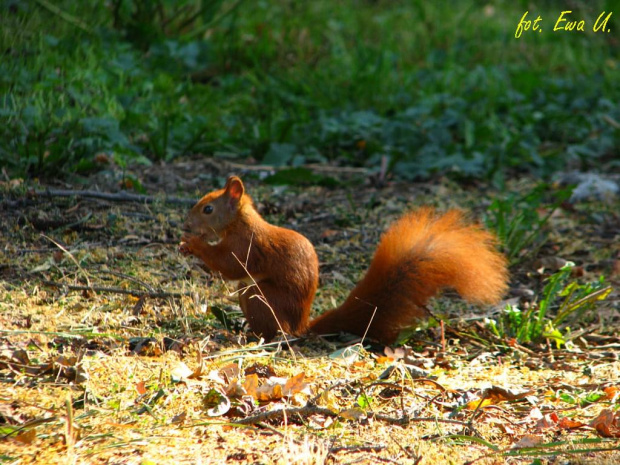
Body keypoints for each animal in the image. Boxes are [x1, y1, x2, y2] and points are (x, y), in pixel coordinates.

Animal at [179, 176, 508, 342]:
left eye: (208, 209)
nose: (186, 225)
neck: (239, 222)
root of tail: (300, 326)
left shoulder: (247, 245)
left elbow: (230, 265)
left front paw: (194, 244)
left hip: (257, 296)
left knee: (272, 327)